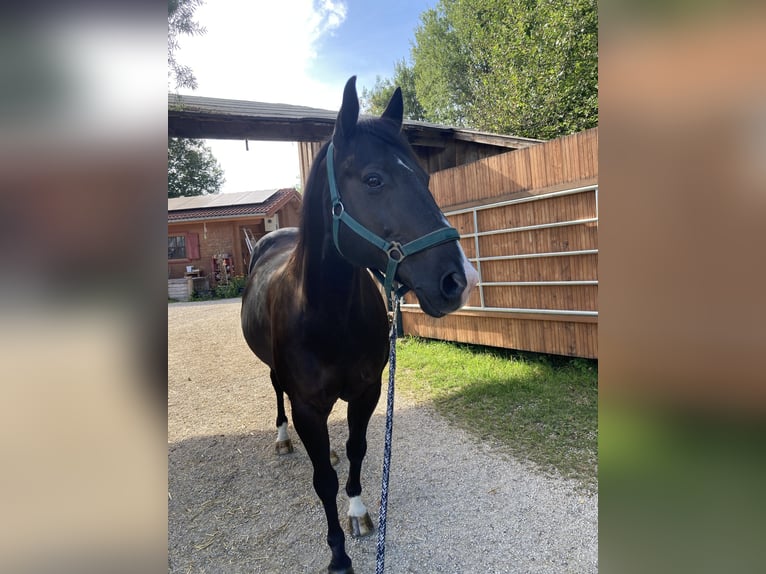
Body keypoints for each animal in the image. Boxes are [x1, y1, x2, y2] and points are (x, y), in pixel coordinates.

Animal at [241, 76, 479, 573]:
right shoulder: (308, 405)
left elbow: (355, 451)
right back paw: (282, 438)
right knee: (277, 393)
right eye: (373, 179)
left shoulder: (368, 392)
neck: (328, 317)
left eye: (426, 177)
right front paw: (337, 553)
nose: (461, 280)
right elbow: (323, 481)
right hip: (277, 377)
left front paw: (358, 511)